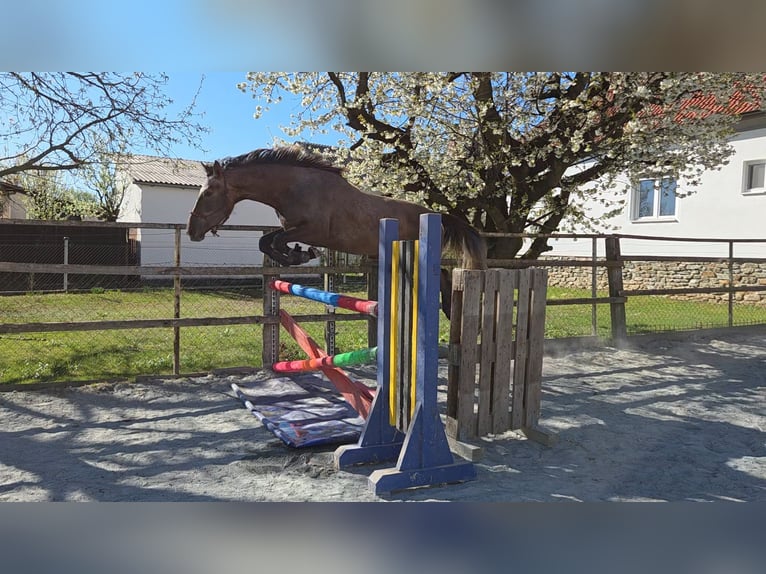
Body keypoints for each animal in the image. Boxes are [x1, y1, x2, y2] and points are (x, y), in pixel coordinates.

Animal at [187, 146, 486, 318]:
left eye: (209, 193)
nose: (192, 231)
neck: (293, 187)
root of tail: (435, 215)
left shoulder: (314, 230)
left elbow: (278, 240)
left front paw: (299, 254)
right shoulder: (292, 228)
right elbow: (267, 240)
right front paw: (296, 255)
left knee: (443, 272)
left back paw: (449, 308)